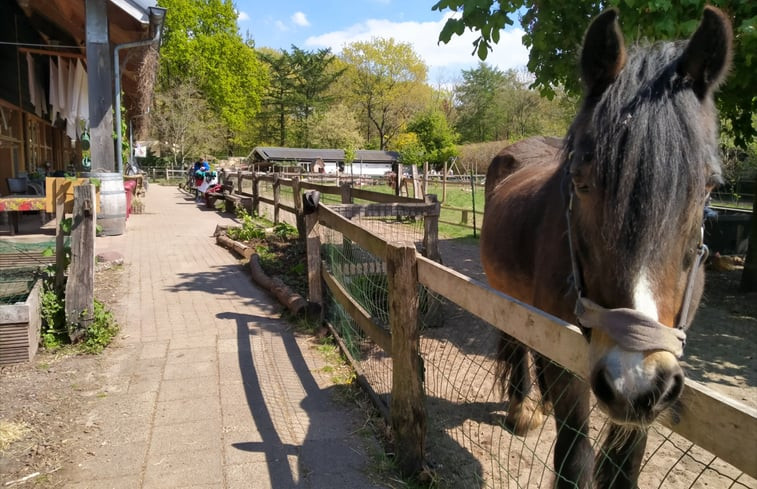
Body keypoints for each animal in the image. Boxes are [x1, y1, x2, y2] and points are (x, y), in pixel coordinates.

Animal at [482, 6, 728, 488]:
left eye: (709, 187)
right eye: (580, 181)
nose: (633, 381)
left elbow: (625, 466)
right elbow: (575, 455)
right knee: (518, 345)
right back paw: (522, 409)